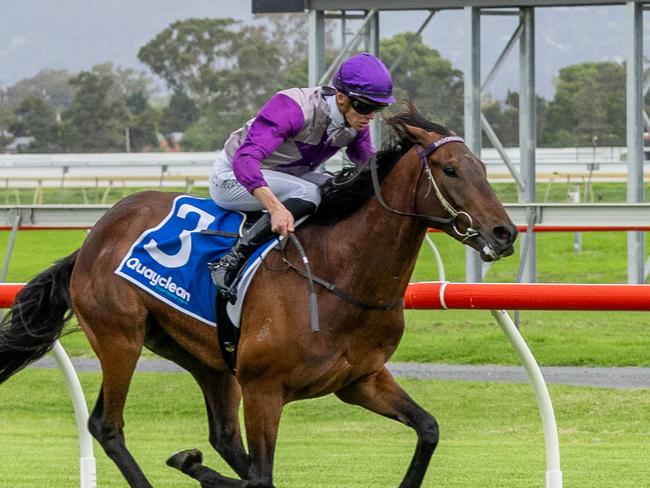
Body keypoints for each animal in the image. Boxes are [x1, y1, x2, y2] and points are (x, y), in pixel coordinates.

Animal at [0, 105, 516, 486]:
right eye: (451, 170)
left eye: (484, 168)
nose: (504, 232)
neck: (339, 272)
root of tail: (92, 239)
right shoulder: (264, 390)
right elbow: (262, 478)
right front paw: (193, 463)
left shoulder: (361, 381)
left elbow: (428, 429)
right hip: (119, 338)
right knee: (107, 426)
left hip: (203, 356)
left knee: (222, 436)